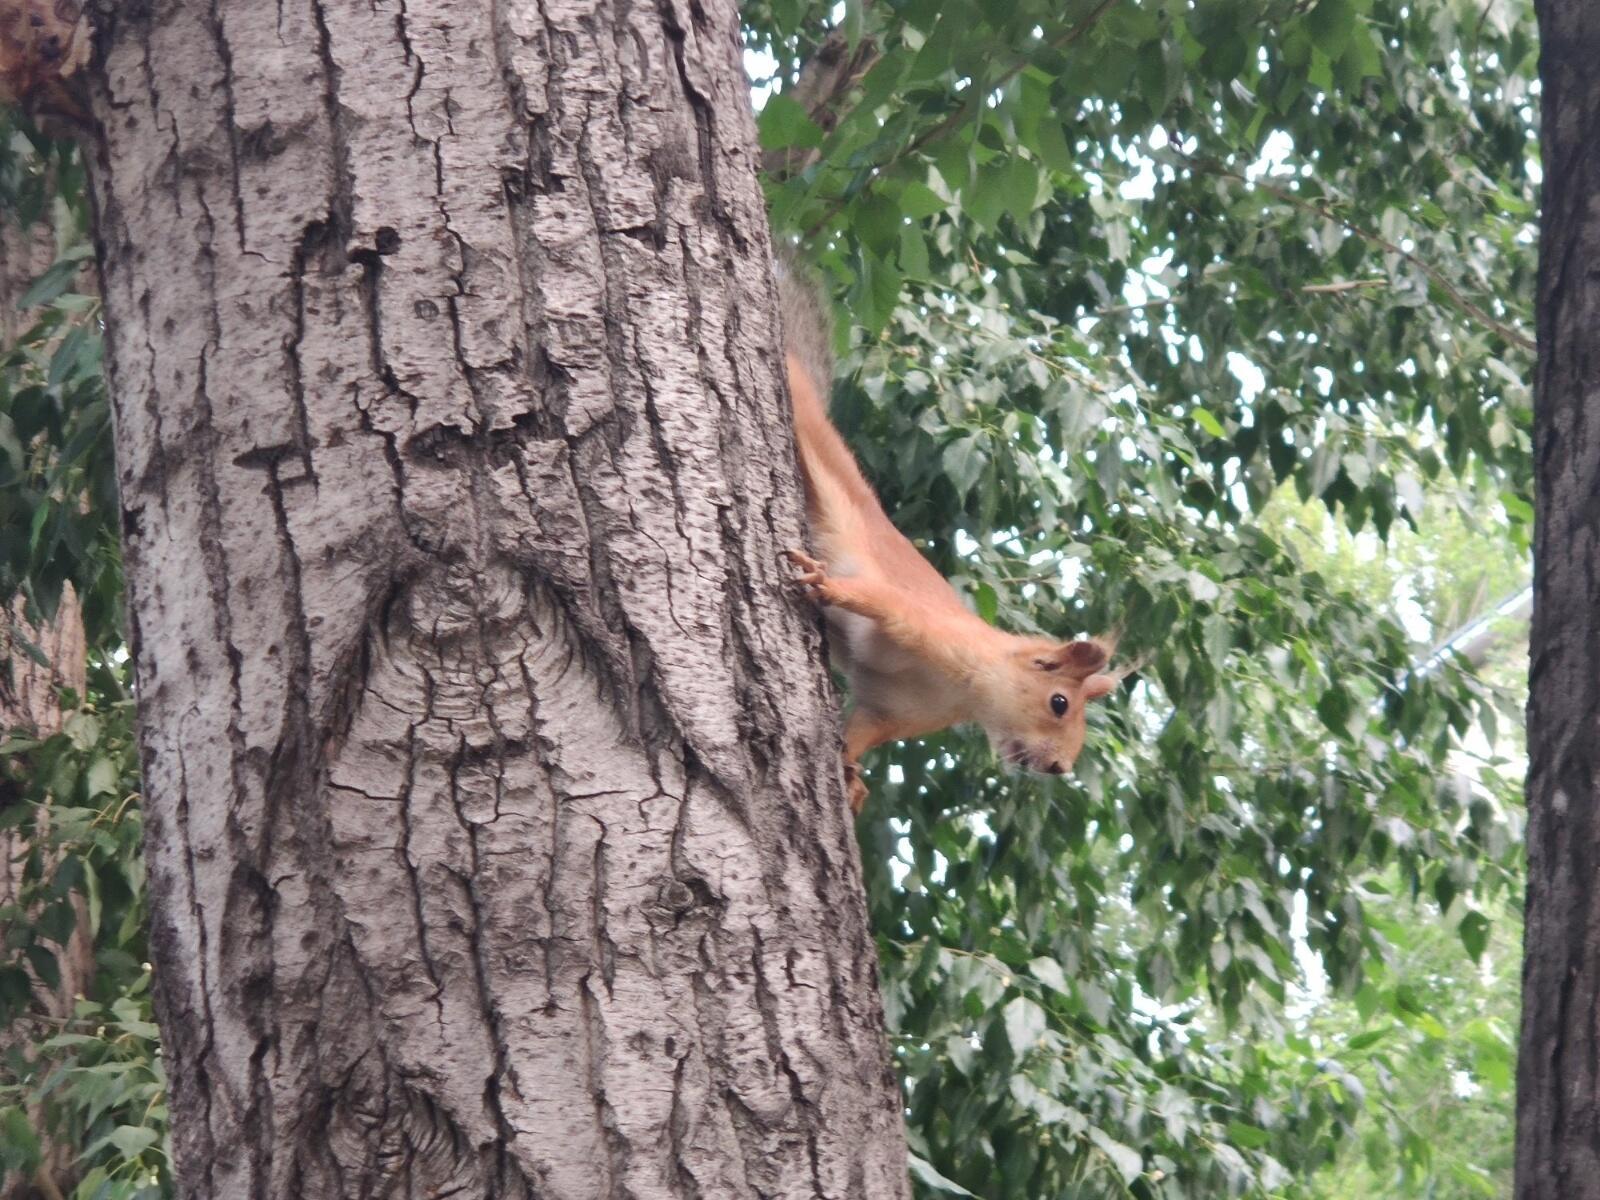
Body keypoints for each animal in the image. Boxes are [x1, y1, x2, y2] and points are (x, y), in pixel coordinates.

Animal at [780, 259, 1120, 812]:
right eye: (1059, 702)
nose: (1058, 768)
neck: (965, 692)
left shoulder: (893, 710)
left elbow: (861, 732)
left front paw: (851, 781)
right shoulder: (926, 626)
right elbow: (876, 600)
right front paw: (826, 584)